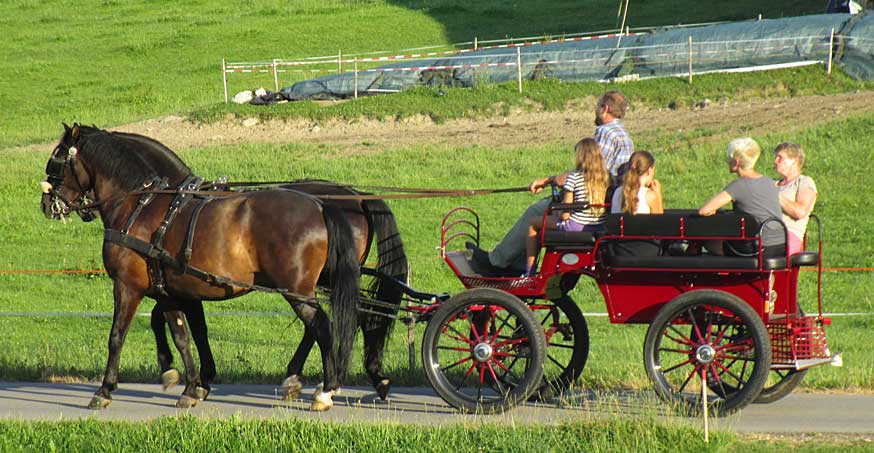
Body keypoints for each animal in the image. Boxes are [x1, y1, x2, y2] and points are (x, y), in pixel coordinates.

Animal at [39, 123, 360, 410]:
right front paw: (191, 386)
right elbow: (184, 335)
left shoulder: (127, 286)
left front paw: (104, 390)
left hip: (296, 291)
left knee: (322, 327)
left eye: (56, 161)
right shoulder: (172, 292)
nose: (46, 203)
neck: (142, 205)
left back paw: (324, 390)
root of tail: (320, 205)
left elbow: (117, 335)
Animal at [152, 179, 408, 400]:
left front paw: (180, 374)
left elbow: (171, 323)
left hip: (307, 284)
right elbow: (186, 325)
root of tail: (356, 195)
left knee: (328, 320)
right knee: (353, 312)